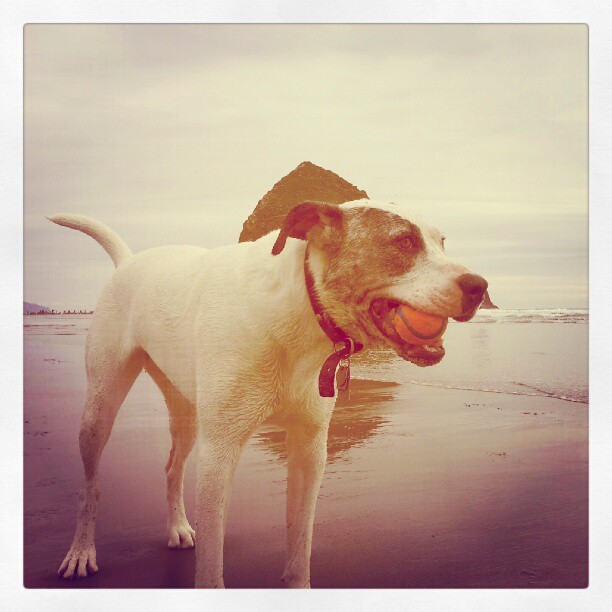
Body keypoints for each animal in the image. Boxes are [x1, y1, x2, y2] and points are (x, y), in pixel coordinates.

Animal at [50, 199, 487, 588]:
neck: (299, 310)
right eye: (404, 242)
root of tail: (128, 262)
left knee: (173, 466)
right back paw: (81, 551)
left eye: (442, 243)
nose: (479, 286)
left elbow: (300, 541)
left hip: (186, 410)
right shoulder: (219, 452)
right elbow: (211, 569)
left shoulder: (310, 449)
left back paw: (177, 527)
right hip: (101, 404)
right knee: (91, 484)